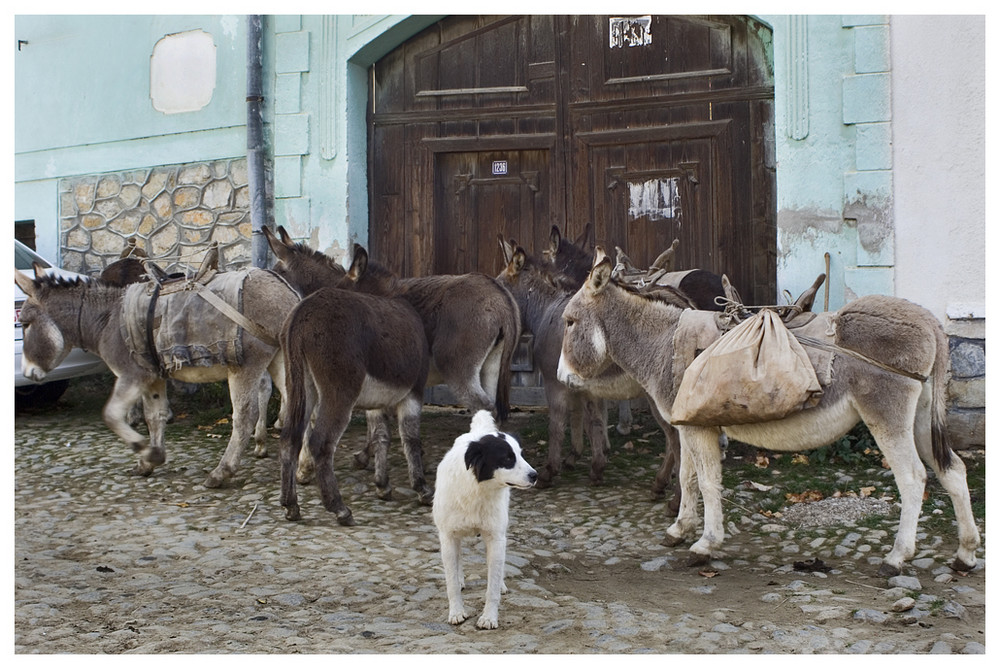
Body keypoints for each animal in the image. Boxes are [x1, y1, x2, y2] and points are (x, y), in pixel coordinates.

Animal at [432, 410, 540, 628]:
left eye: (521, 454)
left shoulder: (496, 537)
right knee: (458, 559)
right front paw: (456, 612)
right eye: (507, 458)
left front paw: (489, 617)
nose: (535, 475)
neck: (477, 490)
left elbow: (492, 584)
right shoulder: (447, 536)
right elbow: (451, 582)